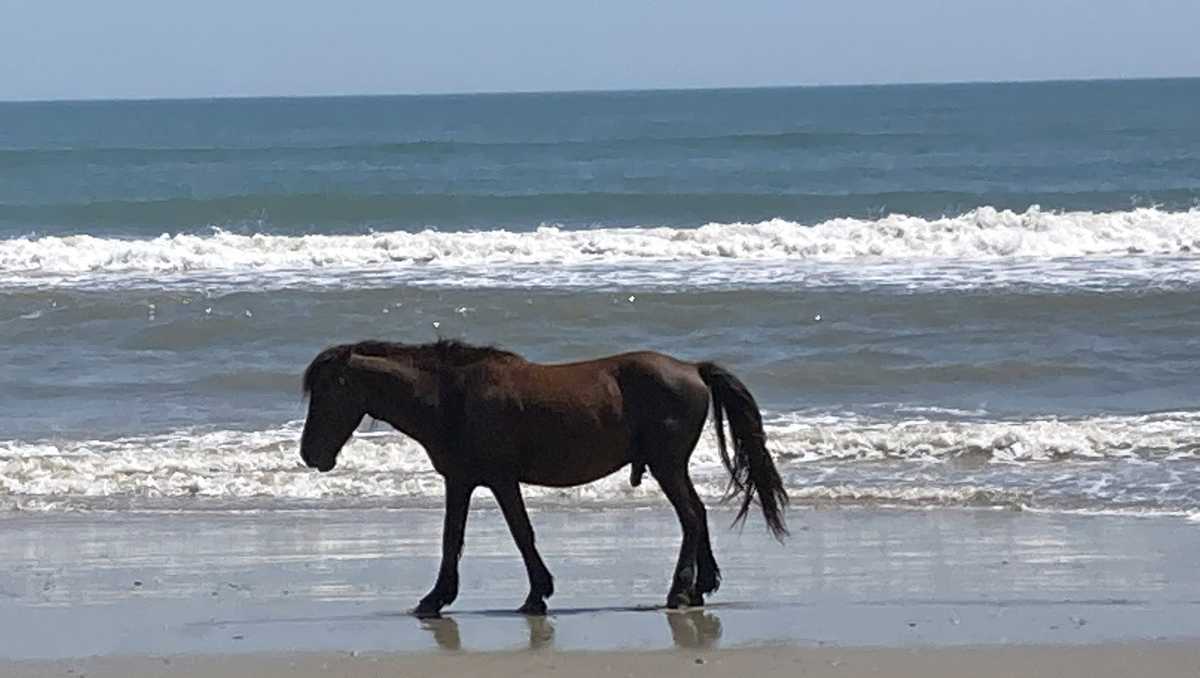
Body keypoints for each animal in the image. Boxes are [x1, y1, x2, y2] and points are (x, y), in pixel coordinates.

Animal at [299, 339, 788, 617]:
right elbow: (452, 538)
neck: (451, 397)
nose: (309, 454)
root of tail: (692, 368)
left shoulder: (499, 480)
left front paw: (537, 594)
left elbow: (521, 533)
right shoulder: (460, 480)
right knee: (698, 514)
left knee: (688, 516)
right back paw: (700, 587)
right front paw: (436, 598)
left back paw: (679, 592)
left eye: (326, 392)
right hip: (672, 467)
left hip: (667, 465)